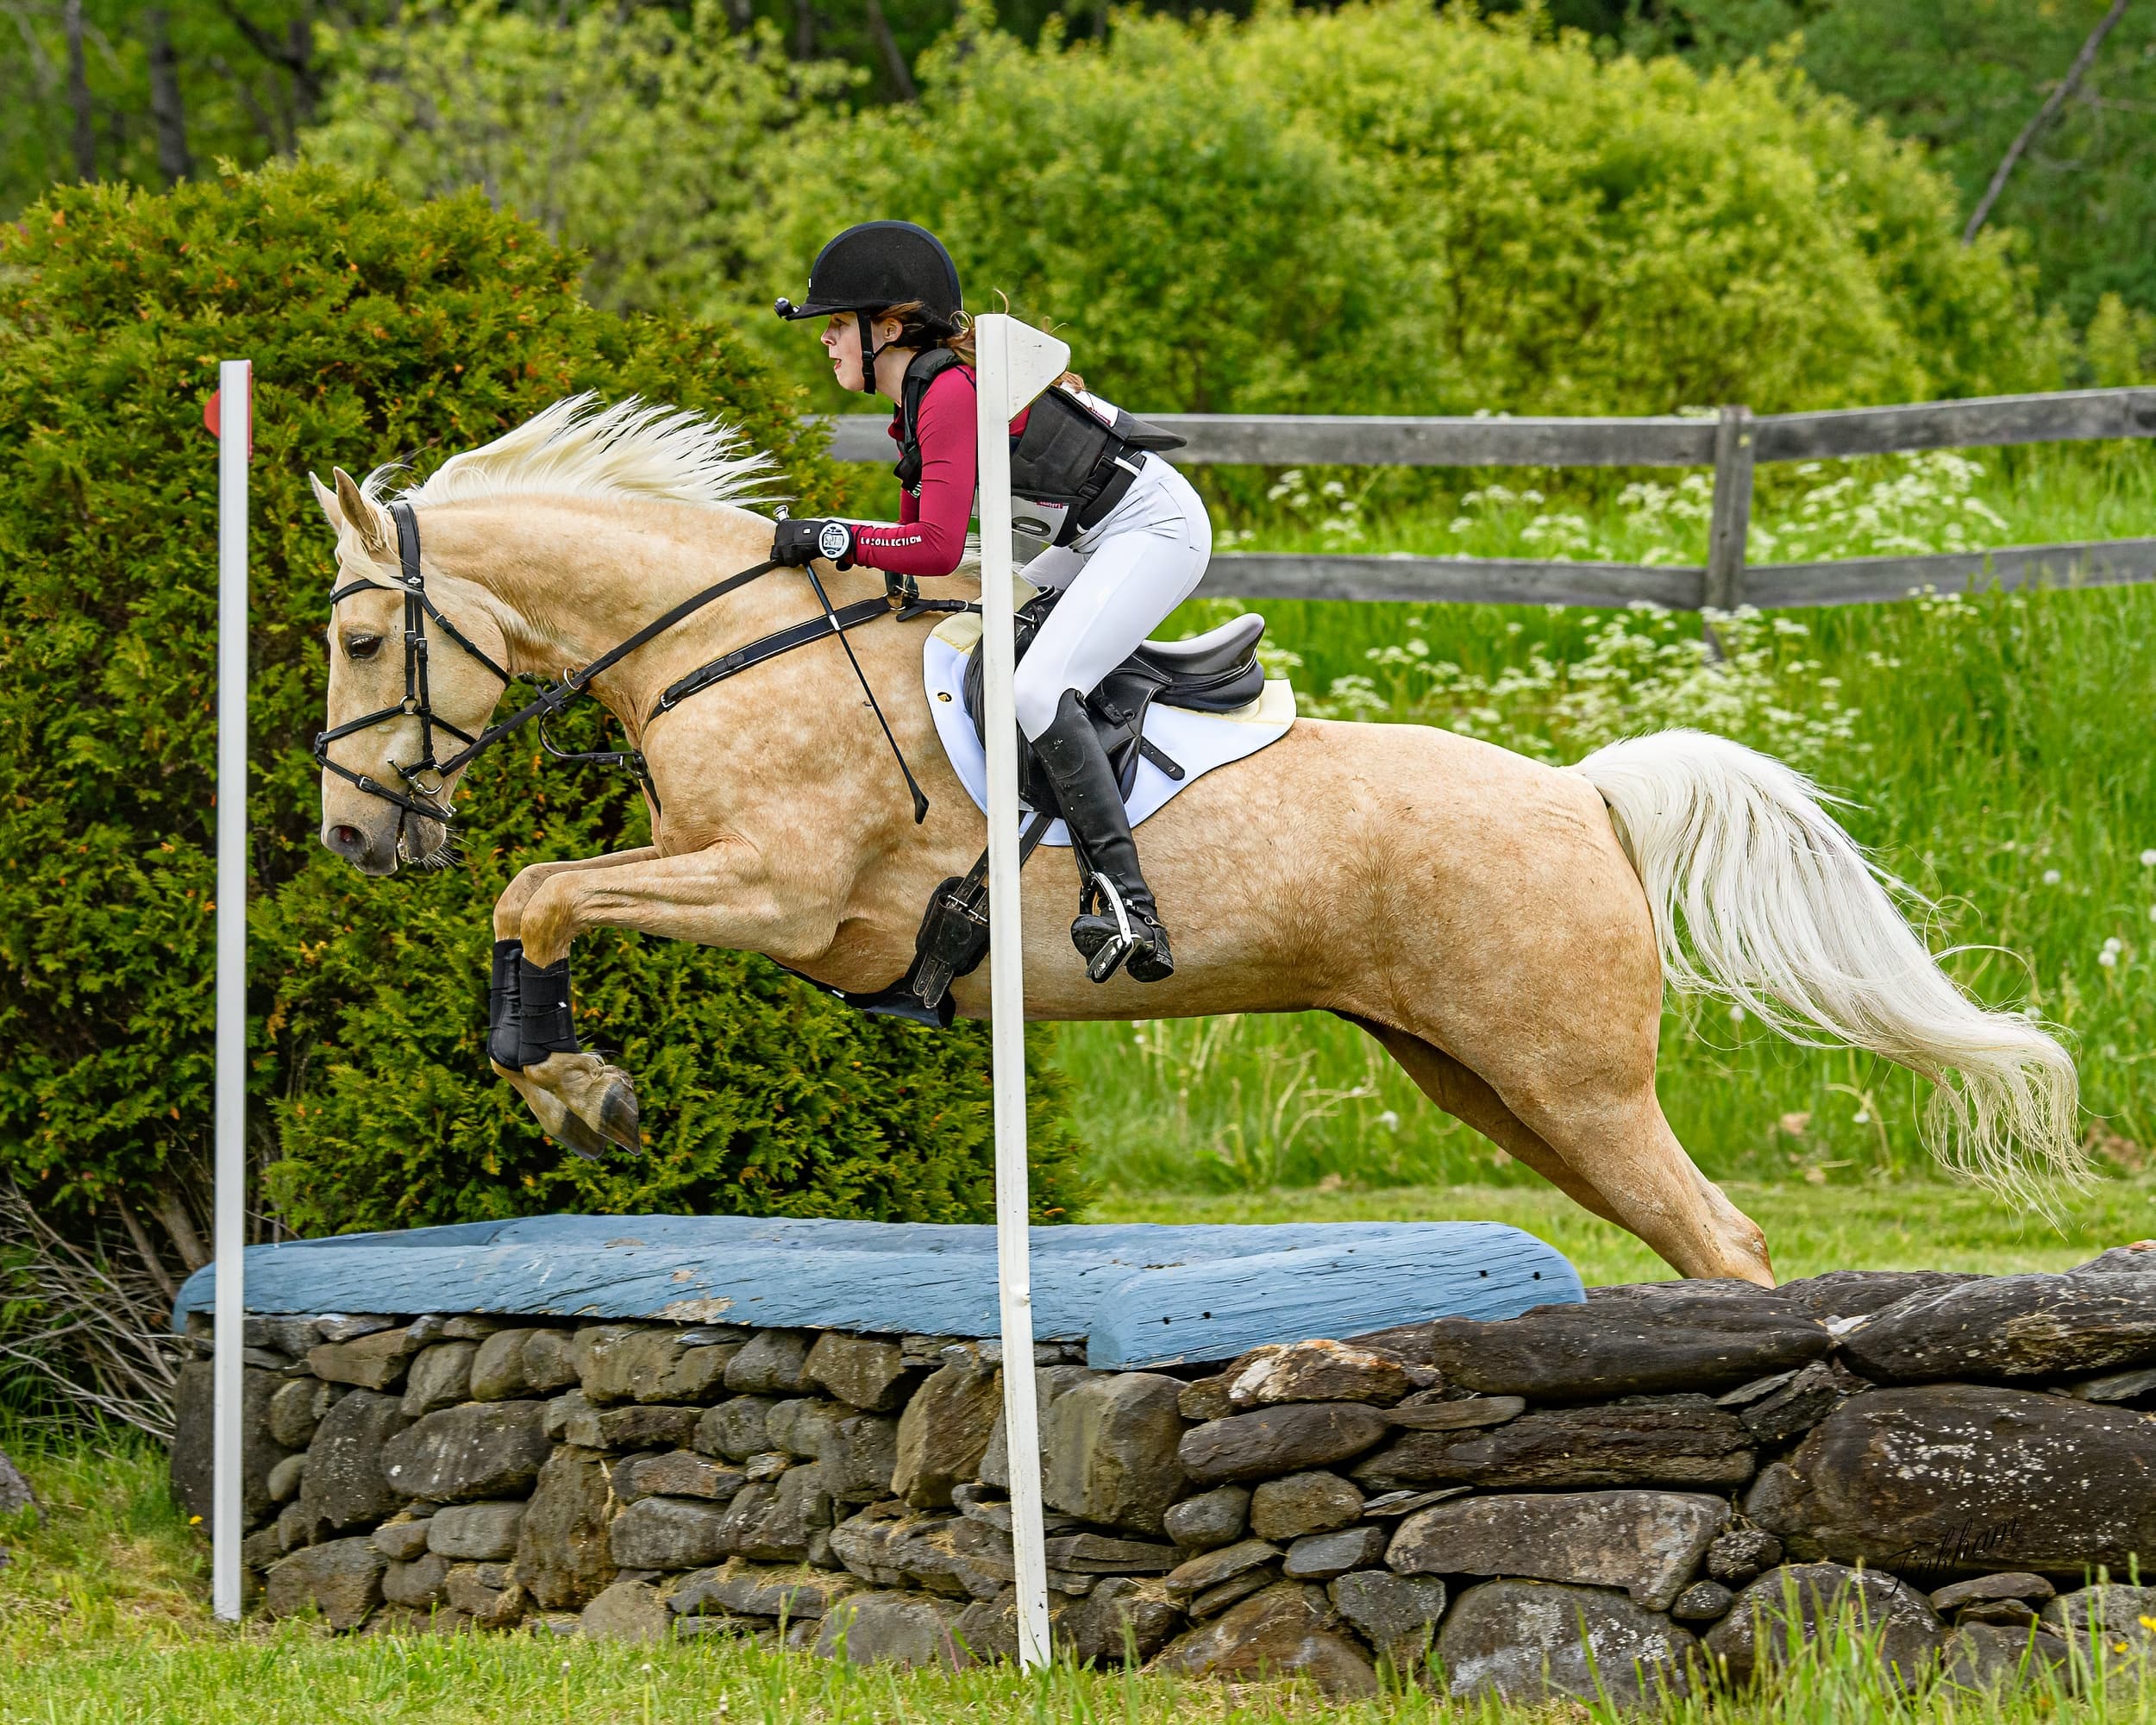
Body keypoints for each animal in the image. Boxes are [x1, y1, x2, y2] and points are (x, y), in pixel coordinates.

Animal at [310, 397, 2081, 1285]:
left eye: (351, 641)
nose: (345, 838)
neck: (728, 647)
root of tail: (1583, 791)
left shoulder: (785, 896)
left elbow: (543, 891)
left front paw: (578, 1089)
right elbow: (535, 898)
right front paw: (570, 1086)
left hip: (1569, 1081)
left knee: (1718, 1232)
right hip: (1495, 1085)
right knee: (1700, 1238)